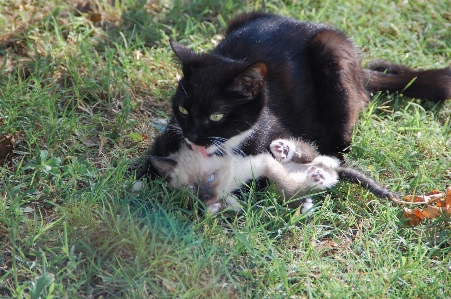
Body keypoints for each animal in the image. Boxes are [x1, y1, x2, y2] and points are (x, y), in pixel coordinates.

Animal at [138, 11, 451, 180]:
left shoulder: (275, 136)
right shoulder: (169, 135)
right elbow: (147, 164)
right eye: (183, 110)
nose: (191, 136)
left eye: (216, 115)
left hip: (334, 53)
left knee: (343, 138)